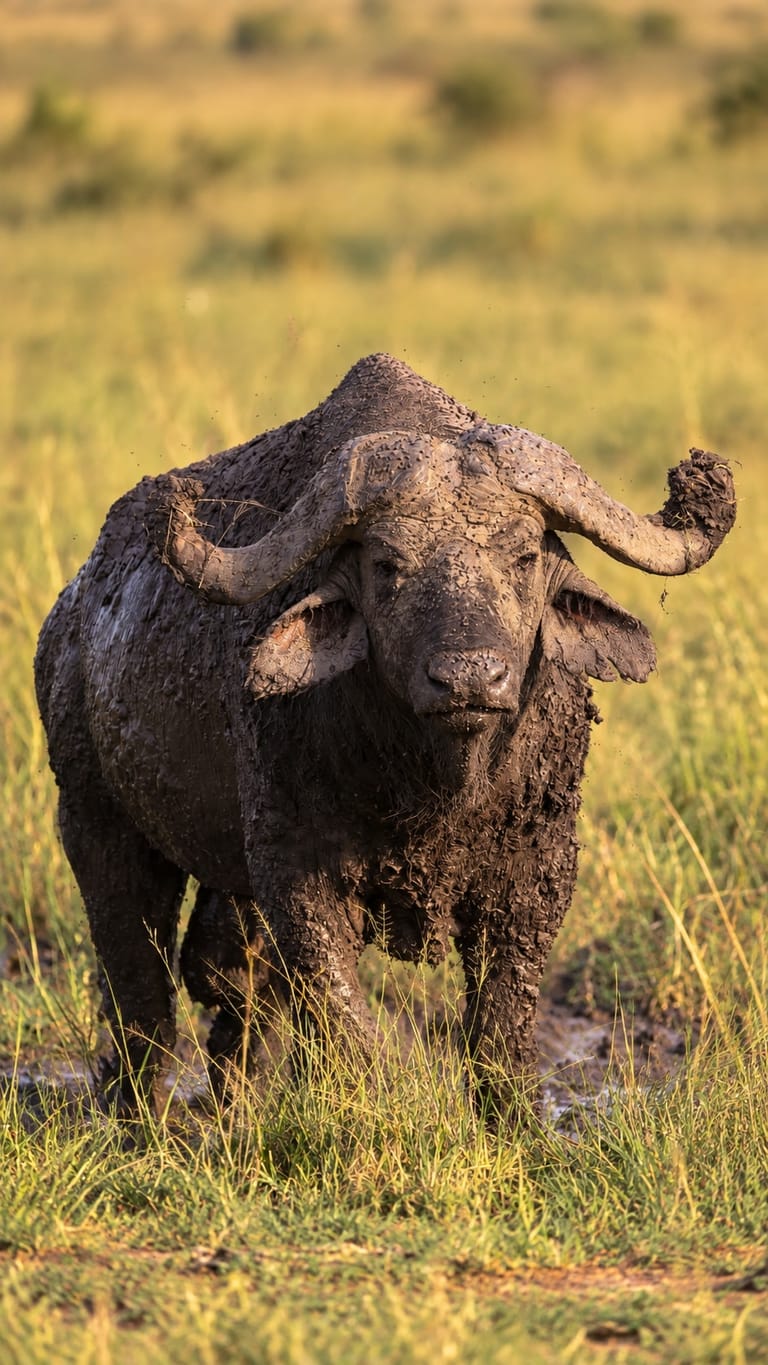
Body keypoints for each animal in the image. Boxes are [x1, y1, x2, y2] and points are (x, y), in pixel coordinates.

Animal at [35, 353, 735, 1116]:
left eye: (523, 558)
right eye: (388, 565)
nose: (469, 678)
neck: (437, 782)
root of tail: (72, 613)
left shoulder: (538, 872)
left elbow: (502, 1024)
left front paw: (516, 1122)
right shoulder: (296, 871)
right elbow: (345, 1017)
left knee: (229, 981)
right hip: (94, 818)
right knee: (141, 988)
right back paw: (140, 1111)